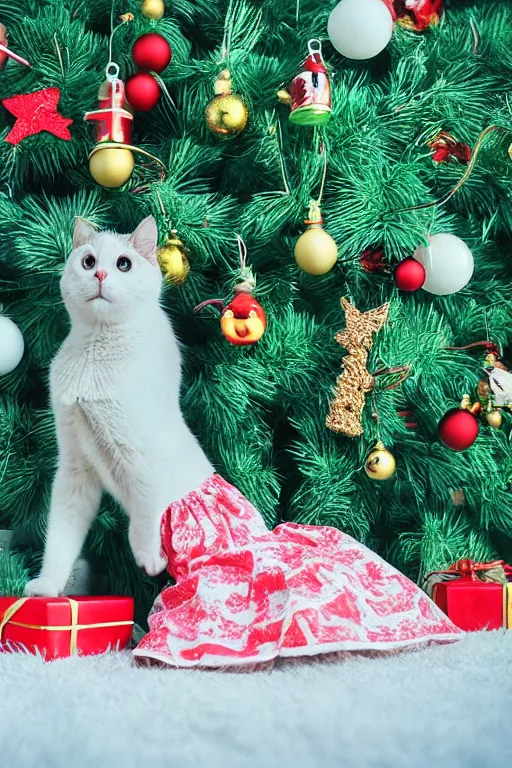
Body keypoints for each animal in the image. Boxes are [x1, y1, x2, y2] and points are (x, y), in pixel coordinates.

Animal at [25, 213, 213, 596]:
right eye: (88, 261)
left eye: (123, 264)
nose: (99, 274)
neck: (96, 349)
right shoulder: (75, 469)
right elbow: (61, 537)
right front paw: (48, 587)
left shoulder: (142, 458)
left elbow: (143, 517)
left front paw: (149, 558)